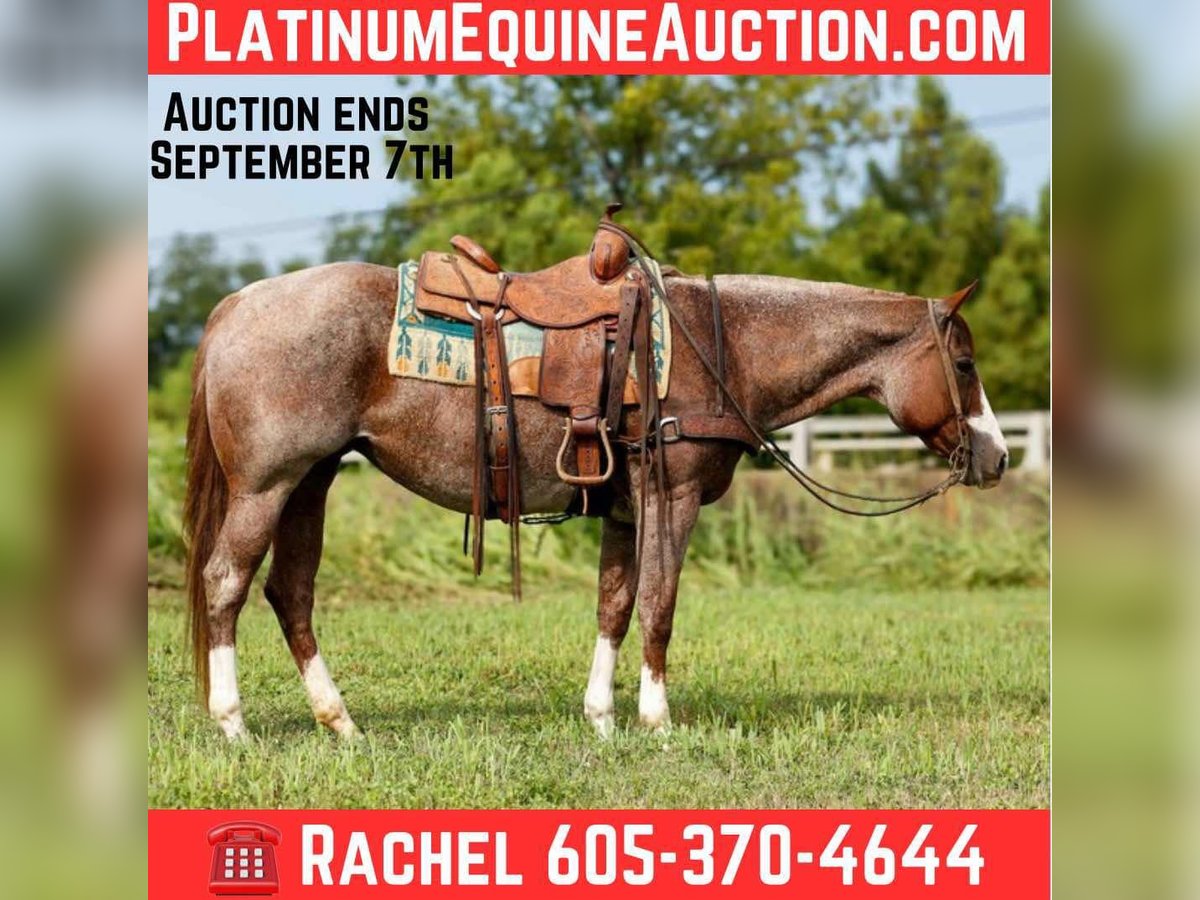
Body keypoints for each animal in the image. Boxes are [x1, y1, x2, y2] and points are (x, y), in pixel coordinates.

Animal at [183, 261, 1008, 740]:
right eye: (964, 364)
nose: (998, 456)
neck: (726, 347)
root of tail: (233, 307)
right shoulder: (672, 498)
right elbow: (659, 606)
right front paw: (658, 720)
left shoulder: (622, 508)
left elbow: (614, 606)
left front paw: (603, 718)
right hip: (267, 485)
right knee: (226, 583)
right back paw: (233, 725)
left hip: (312, 481)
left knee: (290, 593)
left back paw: (342, 724)